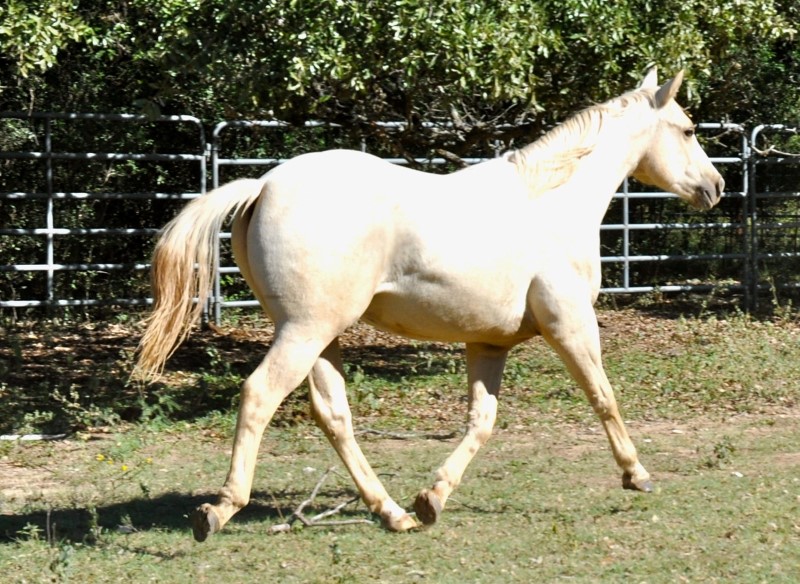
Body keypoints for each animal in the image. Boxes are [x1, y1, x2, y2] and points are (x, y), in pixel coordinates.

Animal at [136, 69, 724, 544]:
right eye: (689, 129)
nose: (715, 187)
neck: (552, 201)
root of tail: (263, 184)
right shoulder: (571, 324)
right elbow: (604, 398)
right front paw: (637, 474)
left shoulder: (487, 343)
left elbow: (481, 421)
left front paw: (432, 498)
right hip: (304, 331)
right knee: (260, 395)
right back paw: (219, 510)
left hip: (319, 336)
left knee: (334, 415)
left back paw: (394, 513)